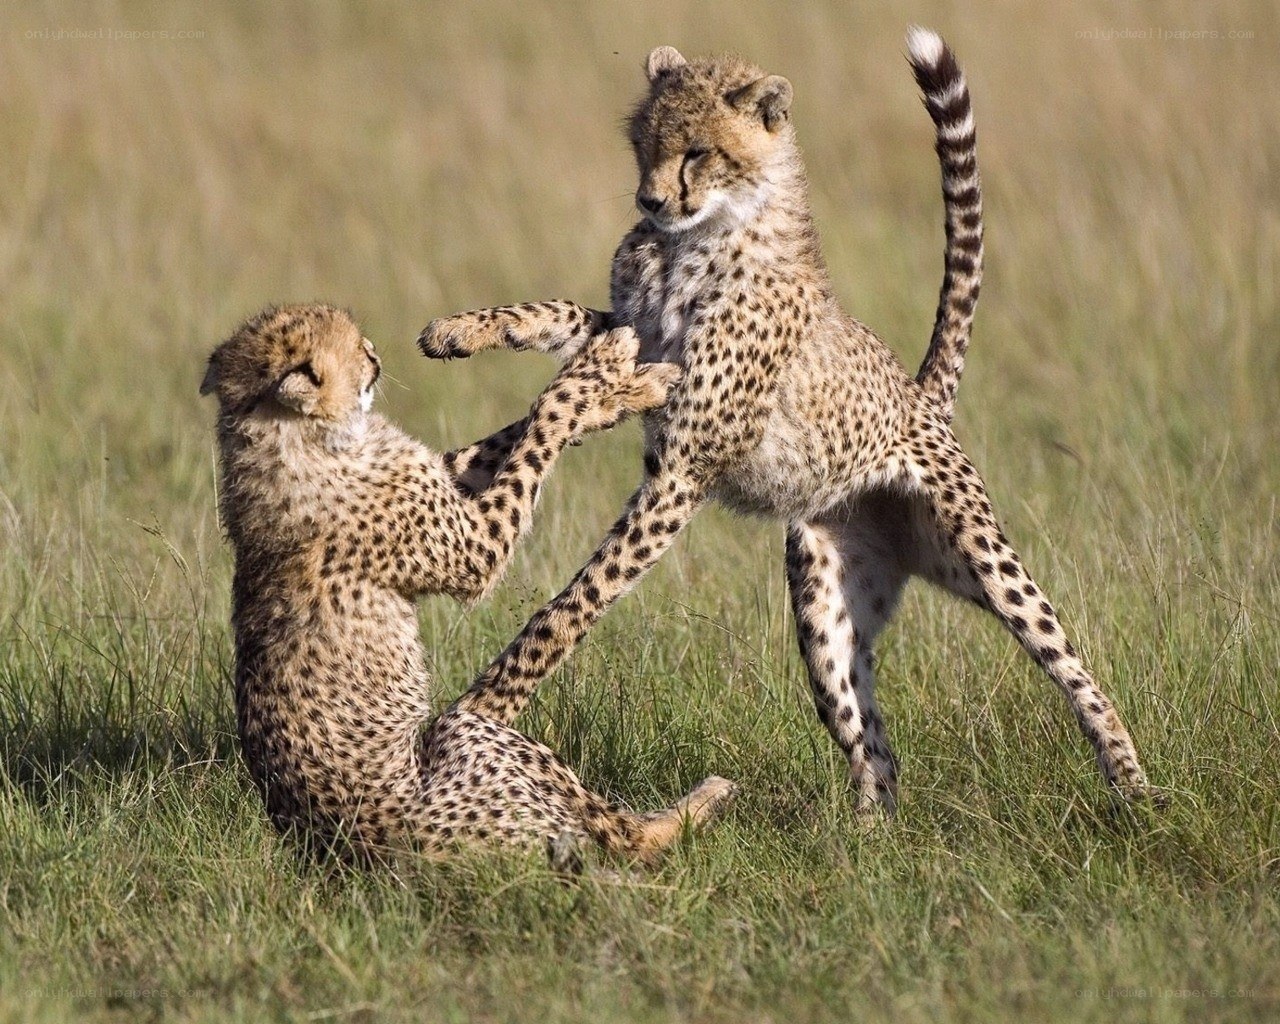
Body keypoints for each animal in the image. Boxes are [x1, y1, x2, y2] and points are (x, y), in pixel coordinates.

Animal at [201, 302, 736, 866]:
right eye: (352, 349)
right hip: (471, 737)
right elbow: (547, 414)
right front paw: (602, 367)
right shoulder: (476, 547)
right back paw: (705, 800)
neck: (290, 437)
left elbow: (504, 436)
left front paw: (623, 389)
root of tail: (350, 848)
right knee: (624, 837)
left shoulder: (443, 476)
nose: (375, 353)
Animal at [416, 28, 1157, 815]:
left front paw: (486, 706)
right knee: (874, 748)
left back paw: (1135, 787)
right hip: (825, 611)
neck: (697, 237)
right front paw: (459, 335)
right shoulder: (640, 344)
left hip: (980, 558)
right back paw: (865, 838)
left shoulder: (683, 466)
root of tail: (918, 396)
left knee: (1067, 660)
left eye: (698, 151)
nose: (650, 199)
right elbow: (559, 335)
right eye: (643, 144)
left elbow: (573, 600)